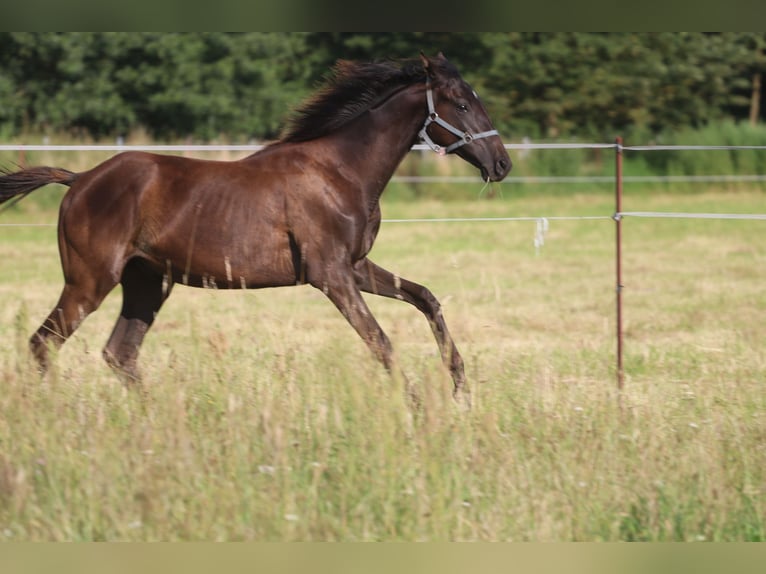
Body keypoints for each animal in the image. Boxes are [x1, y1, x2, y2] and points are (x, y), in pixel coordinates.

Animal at [1, 55, 516, 404]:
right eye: (463, 104)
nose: (502, 165)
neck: (341, 171)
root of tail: (81, 179)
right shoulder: (330, 275)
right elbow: (380, 341)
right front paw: (414, 404)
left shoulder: (356, 266)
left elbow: (425, 298)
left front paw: (459, 384)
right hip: (90, 280)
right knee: (44, 343)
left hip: (148, 282)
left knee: (118, 354)